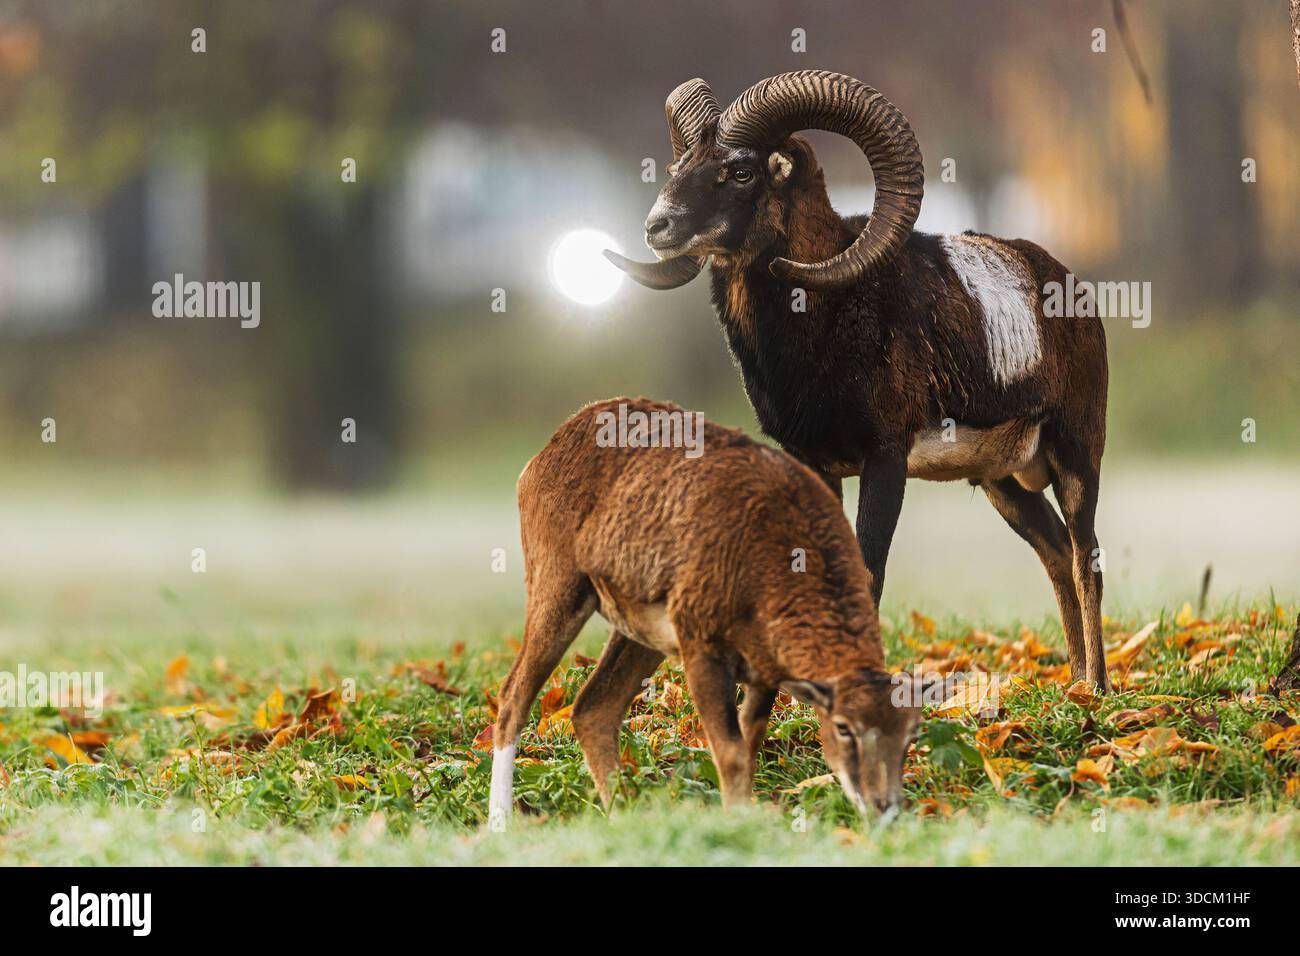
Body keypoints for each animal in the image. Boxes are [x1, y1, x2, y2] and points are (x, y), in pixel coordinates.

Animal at [488, 397, 923, 828]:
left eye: (910, 734)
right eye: (844, 728)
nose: (885, 808)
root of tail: (541, 457)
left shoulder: (762, 672)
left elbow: (749, 746)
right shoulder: (701, 645)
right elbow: (730, 753)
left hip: (639, 630)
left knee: (593, 709)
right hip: (557, 585)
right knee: (513, 697)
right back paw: (500, 825)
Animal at [605, 71, 1110, 689]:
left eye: (741, 170)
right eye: (680, 166)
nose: (658, 227)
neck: (825, 319)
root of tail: (1069, 289)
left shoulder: (884, 461)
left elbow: (869, 573)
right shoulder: (815, 466)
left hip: (1076, 457)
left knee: (1085, 559)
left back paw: (1099, 689)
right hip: (1004, 484)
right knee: (1056, 554)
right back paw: (1077, 684)